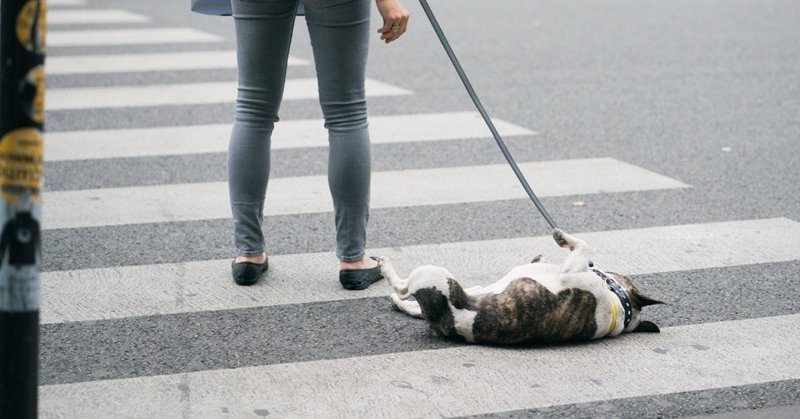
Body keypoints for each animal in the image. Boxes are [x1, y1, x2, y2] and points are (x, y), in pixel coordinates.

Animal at [382, 230, 664, 344]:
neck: (620, 307)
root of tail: (447, 324)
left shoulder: (571, 275)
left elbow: (583, 245)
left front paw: (561, 238)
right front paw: (538, 257)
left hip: (435, 276)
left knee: (405, 287)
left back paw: (386, 269)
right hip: (465, 286)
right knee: (412, 304)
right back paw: (398, 301)